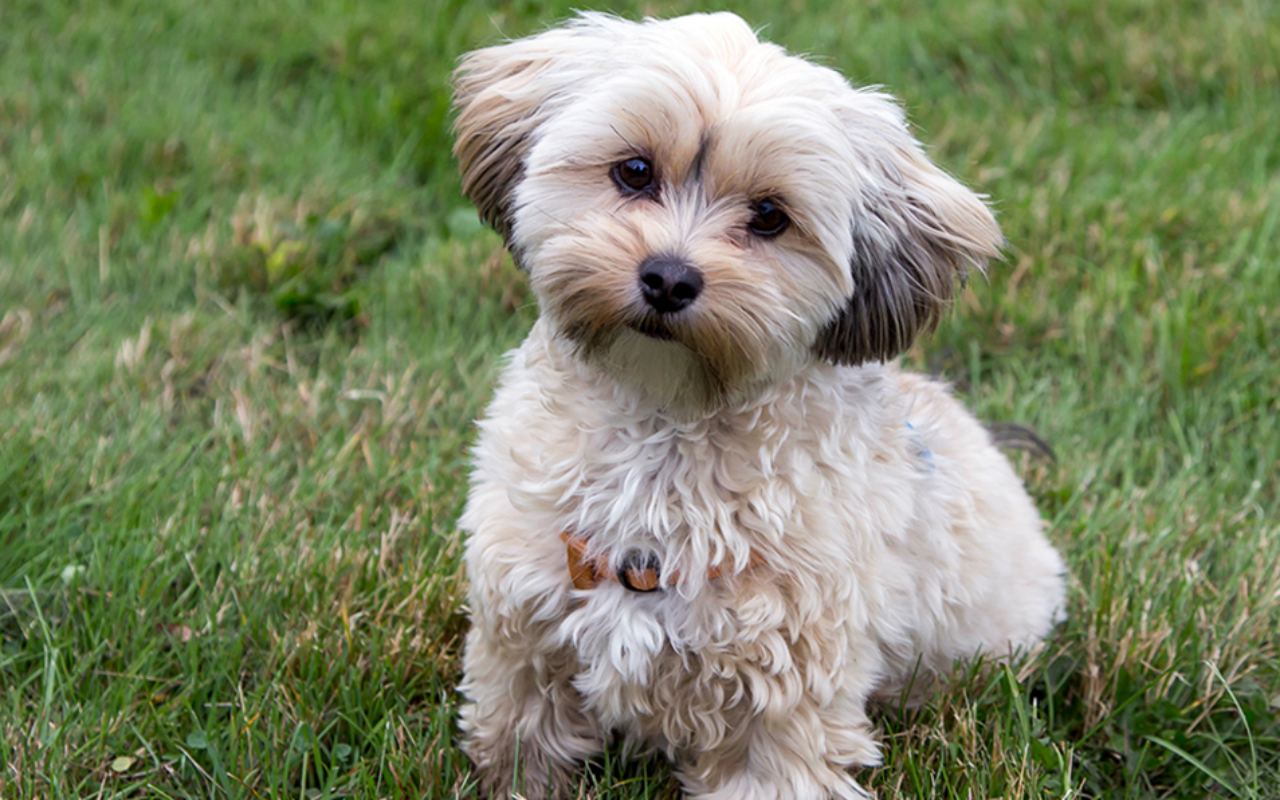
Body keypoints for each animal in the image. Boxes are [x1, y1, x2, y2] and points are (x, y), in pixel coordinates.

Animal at [453, 14, 1070, 798]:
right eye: (634, 171)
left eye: (771, 216)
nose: (668, 278)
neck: (664, 425)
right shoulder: (523, 640)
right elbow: (520, 746)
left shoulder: (781, 702)